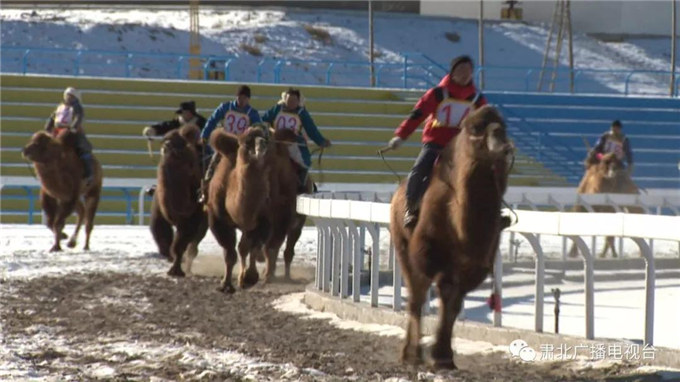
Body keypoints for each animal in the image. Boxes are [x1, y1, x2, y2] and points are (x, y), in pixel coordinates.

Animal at [153, 125, 209, 278]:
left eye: (190, 165)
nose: (167, 146)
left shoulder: (193, 218)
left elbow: (180, 244)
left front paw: (176, 271)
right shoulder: (159, 212)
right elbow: (162, 234)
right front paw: (173, 265)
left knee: (193, 244)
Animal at [205, 125, 274, 292]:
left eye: (266, 138)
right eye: (246, 141)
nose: (261, 143)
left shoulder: (264, 221)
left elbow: (252, 248)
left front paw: (249, 277)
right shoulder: (217, 220)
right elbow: (230, 253)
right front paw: (226, 285)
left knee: (244, 247)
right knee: (236, 249)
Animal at [390, 105, 512, 370]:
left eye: (503, 125)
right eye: (476, 127)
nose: (502, 142)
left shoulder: (475, 266)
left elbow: (455, 304)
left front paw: (445, 355)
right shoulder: (432, 257)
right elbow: (445, 293)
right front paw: (439, 355)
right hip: (403, 247)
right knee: (416, 297)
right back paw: (410, 354)